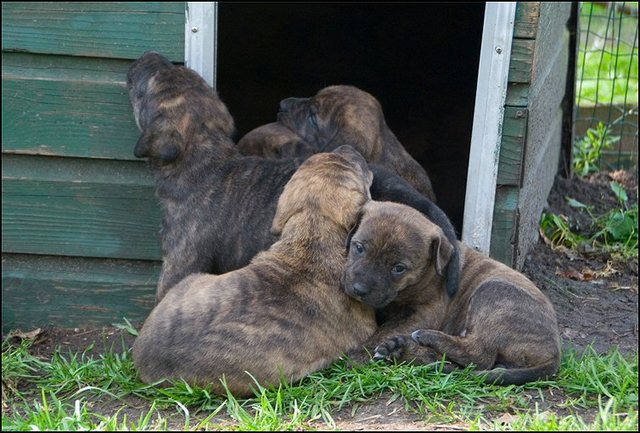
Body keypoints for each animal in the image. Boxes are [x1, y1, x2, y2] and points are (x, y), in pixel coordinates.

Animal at [344, 201, 560, 384]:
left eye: (399, 268)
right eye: (359, 247)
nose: (359, 289)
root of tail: (554, 354)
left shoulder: (425, 313)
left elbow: (388, 329)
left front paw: (359, 355)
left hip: (493, 292)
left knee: (479, 355)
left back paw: (417, 341)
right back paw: (400, 348)